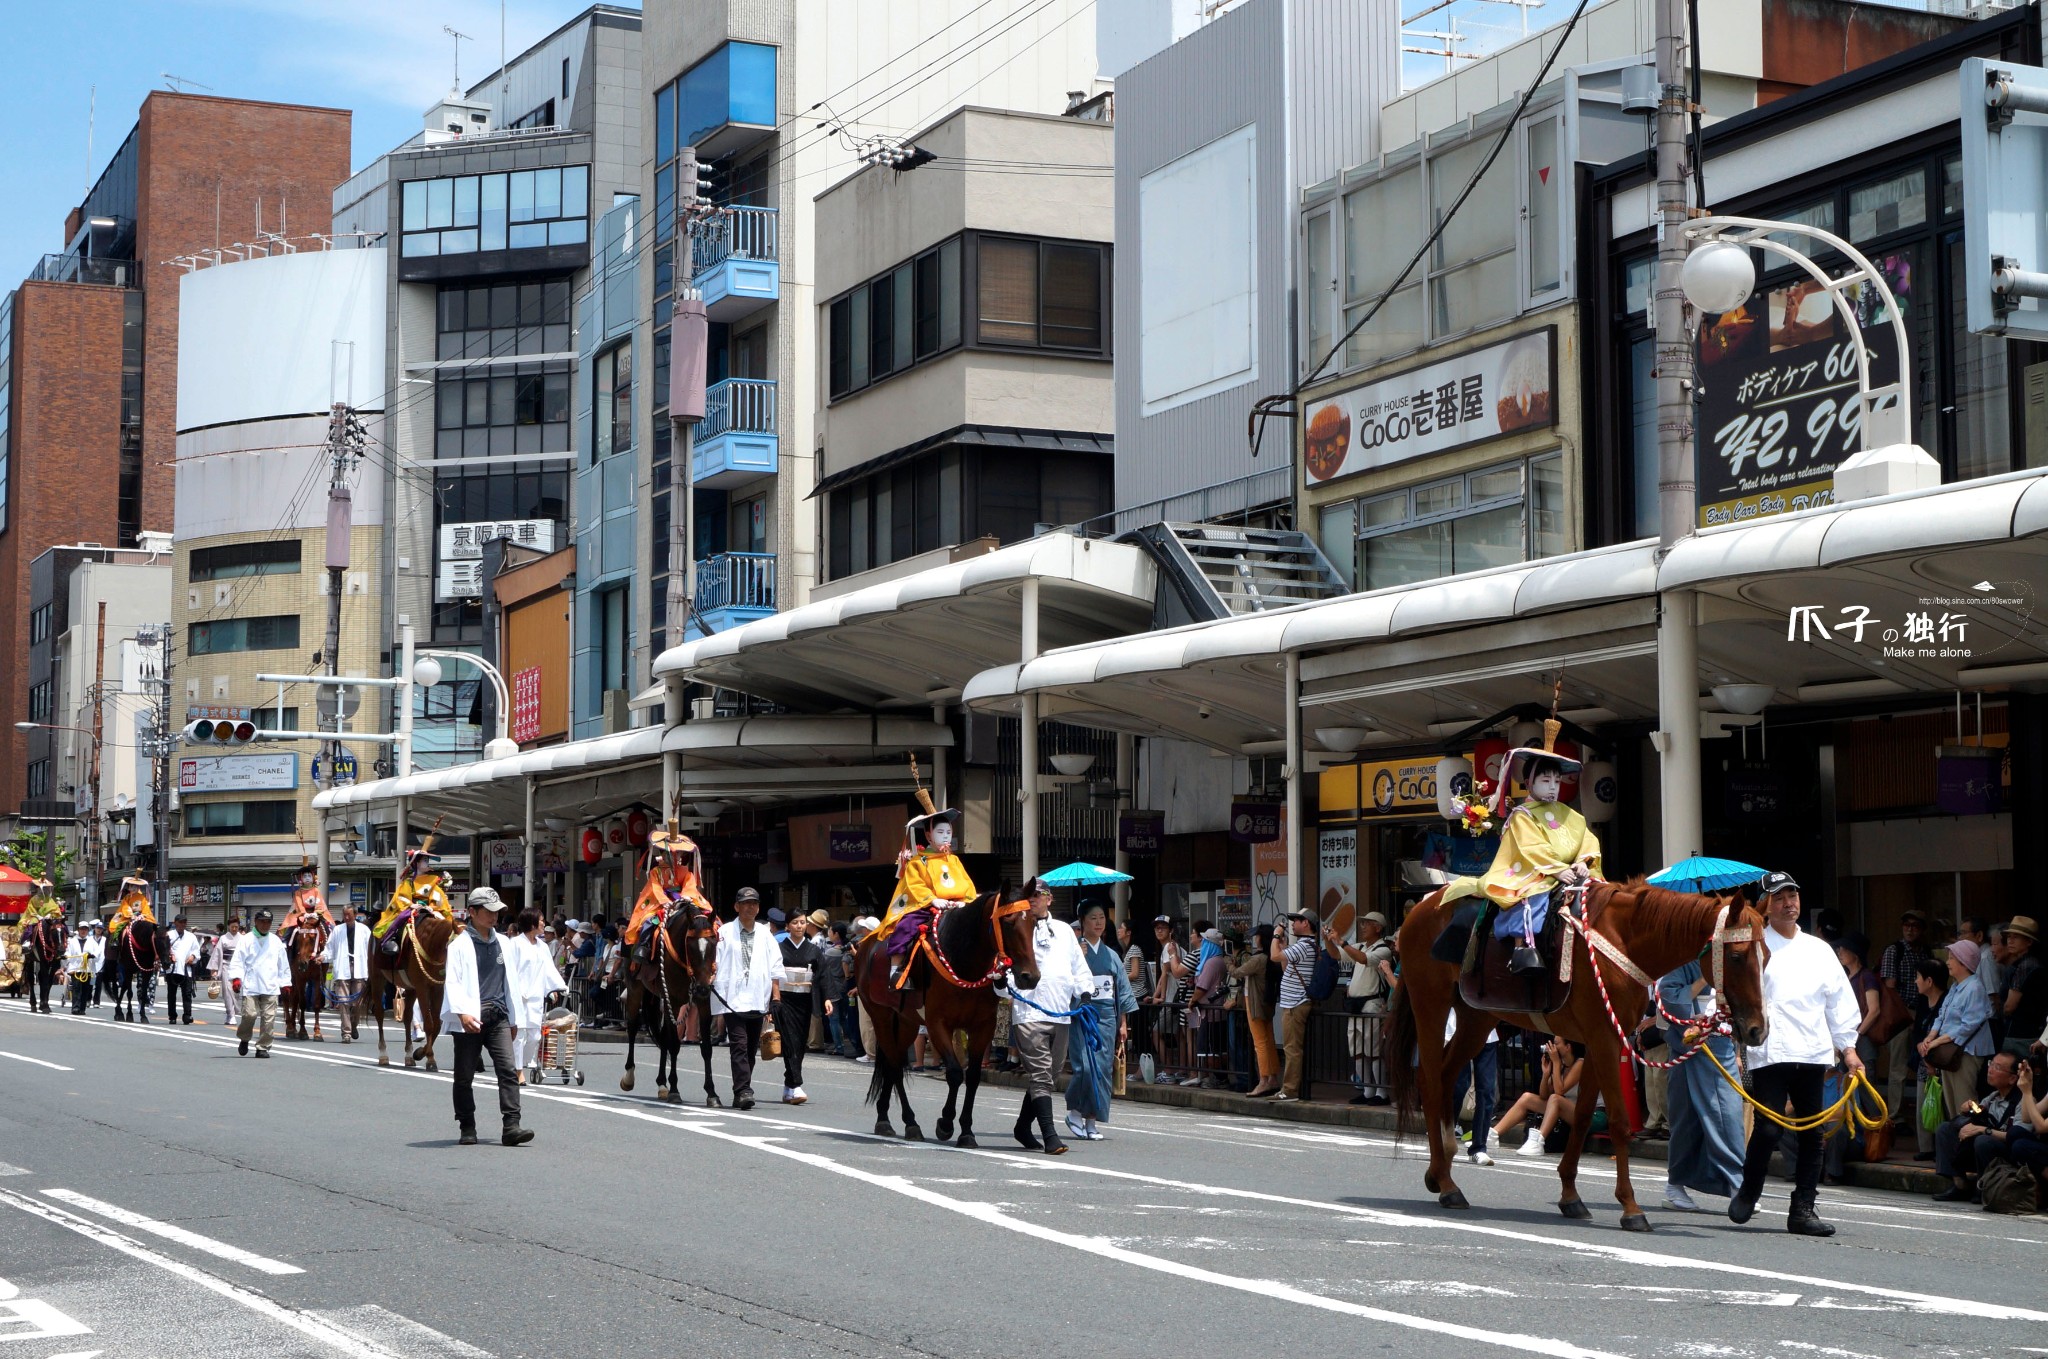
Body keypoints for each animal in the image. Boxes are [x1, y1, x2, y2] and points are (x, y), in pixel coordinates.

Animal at [378, 912, 458, 1072]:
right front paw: (430, 1059)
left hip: (411, 988)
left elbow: (437, 1024)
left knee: (407, 1016)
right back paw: (383, 1054)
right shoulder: (422, 987)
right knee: (379, 1014)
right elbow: (429, 1024)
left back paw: (409, 1055)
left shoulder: (437, 988)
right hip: (376, 977)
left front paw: (420, 1053)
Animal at [614, 900, 720, 1105]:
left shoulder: (703, 1003)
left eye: (713, 944)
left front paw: (712, 1093)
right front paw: (675, 1090)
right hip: (635, 987)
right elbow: (675, 1045)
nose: (703, 988)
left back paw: (662, 1084)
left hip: (658, 998)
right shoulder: (673, 1000)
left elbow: (706, 1048)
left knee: (662, 1035)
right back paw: (629, 1077)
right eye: (690, 946)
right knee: (633, 1027)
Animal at [856, 892, 1040, 1146]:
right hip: (880, 1015)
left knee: (893, 1063)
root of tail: (866, 944)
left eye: (1034, 923)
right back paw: (908, 1122)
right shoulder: (937, 1024)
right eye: (1008, 922)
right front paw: (945, 1123)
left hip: (906, 1022)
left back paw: (885, 1116)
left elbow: (972, 1076)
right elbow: (954, 1073)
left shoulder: (983, 1026)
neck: (965, 962)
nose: (1030, 977)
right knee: (894, 1068)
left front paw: (966, 1132)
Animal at [1392, 875, 1777, 1236]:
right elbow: (1619, 1122)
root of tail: (1421, 908)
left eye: (1768, 957)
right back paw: (1446, 1184)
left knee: (1445, 1075)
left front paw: (1570, 1196)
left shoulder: (1600, 1040)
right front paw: (1631, 1208)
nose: (1758, 1030)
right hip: (1431, 1003)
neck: (1626, 941)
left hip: (1477, 1017)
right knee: (1429, 1081)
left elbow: (1580, 1114)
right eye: (1737, 956)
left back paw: (1440, 1172)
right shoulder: (1604, 1037)